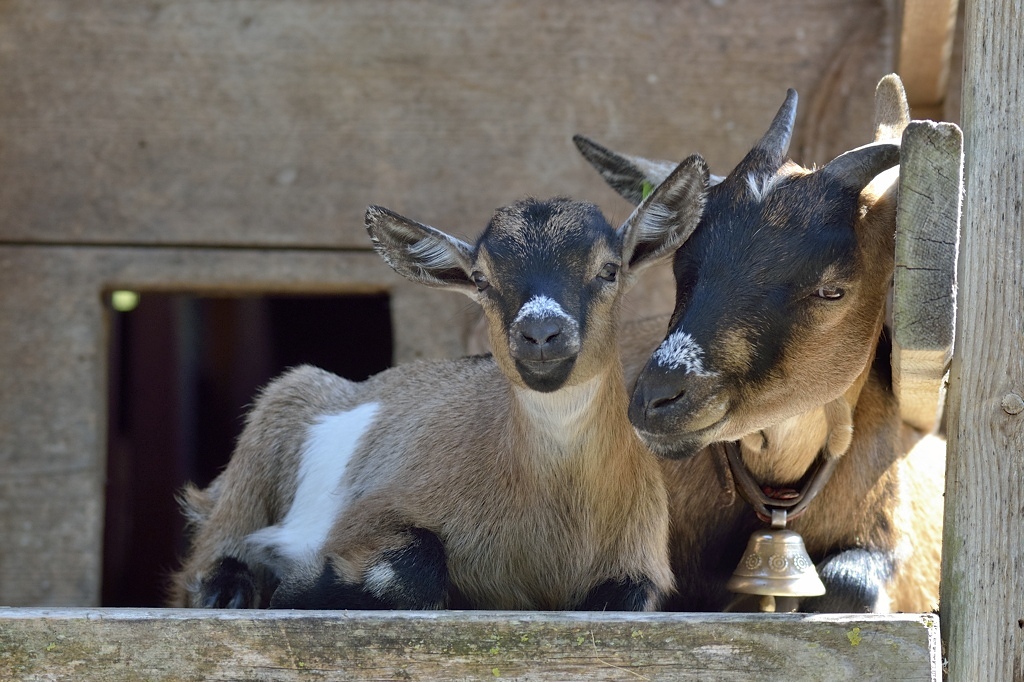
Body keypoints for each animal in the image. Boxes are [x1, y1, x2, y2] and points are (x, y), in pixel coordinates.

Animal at [168, 155, 709, 611]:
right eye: (482, 280)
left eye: (609, 269)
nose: (540, 332)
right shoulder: (370, 515)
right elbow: (414, 566)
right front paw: (298, 589)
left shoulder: (639, 564)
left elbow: (629, 597)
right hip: (272, 422)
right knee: (209, 553)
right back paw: (229, 590)